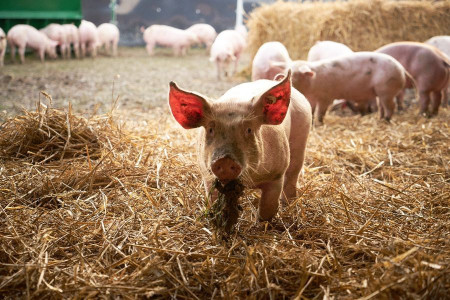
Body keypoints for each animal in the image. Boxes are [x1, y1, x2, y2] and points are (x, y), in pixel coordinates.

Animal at [167, 69, 312, 220]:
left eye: (249, 130)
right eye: (211, 129)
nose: (225, 159)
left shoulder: (276, 175)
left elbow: (267, 209)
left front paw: (263, 223)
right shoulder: (207, 175)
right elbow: (213, 201)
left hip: (301, 136)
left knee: (293, 173)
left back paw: (288, 204)